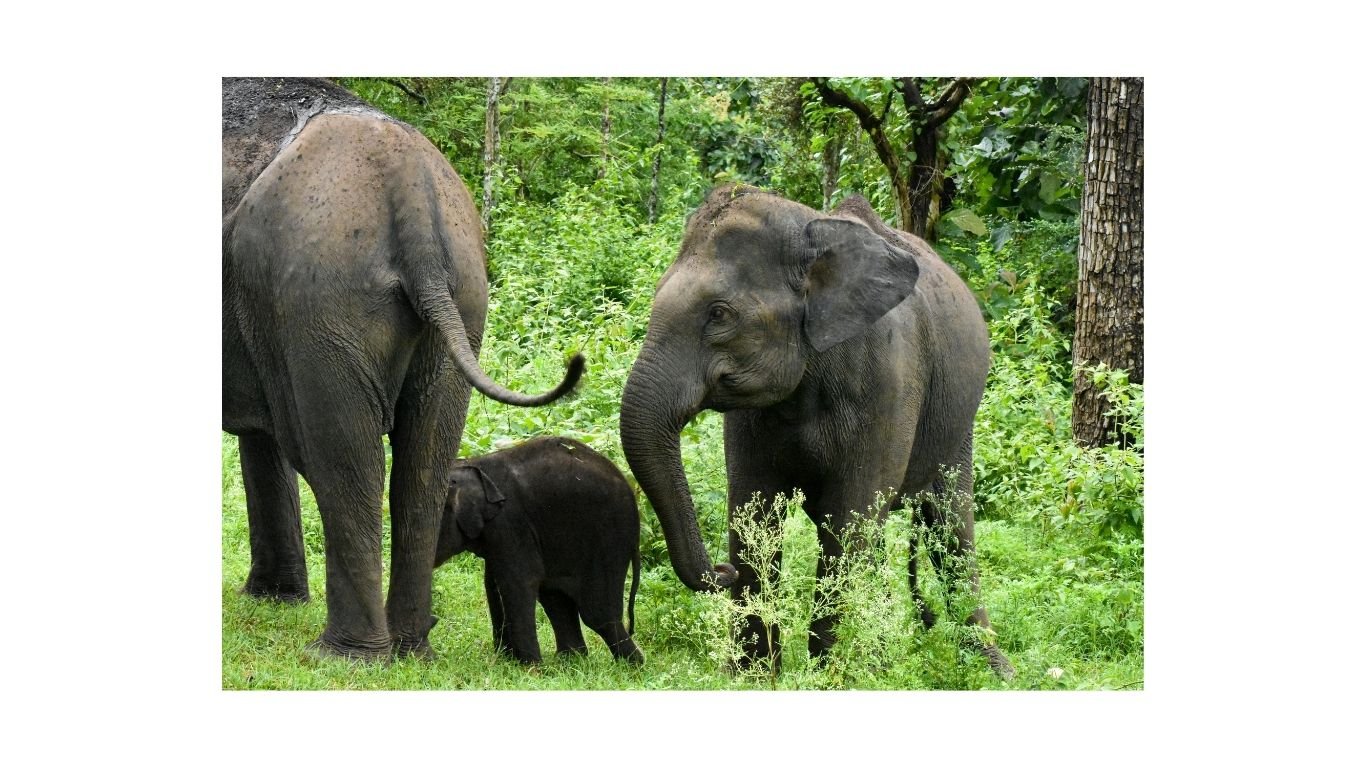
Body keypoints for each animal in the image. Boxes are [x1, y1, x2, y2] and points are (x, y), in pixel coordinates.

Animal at [222, 78, 582, 659]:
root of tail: (408, 184)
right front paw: (273, 600)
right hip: (461, 296)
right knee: (423, 463)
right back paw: (410, 647)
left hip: (321, 302)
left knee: (345, 460)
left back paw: (345, 655)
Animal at [435, 437, 644, 665]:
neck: (472, 464)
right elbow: (493, 582)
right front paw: (506, 660)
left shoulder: (511, 522)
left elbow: (518, 581)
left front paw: (527, 666)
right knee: (555, 599)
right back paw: (570, 661)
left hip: (609, 539)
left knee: (597, 612)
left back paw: (632, 665)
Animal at [619, 184, 1014, 678]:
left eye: (719, 314)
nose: (721, 572)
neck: (813, 232)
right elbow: (753, 510)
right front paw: (752, 675)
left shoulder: (887, 382)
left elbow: (847, 517)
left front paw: (825, 675)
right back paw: (882, 660)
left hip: (959, 418)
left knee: (949, 525)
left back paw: (990, 669)